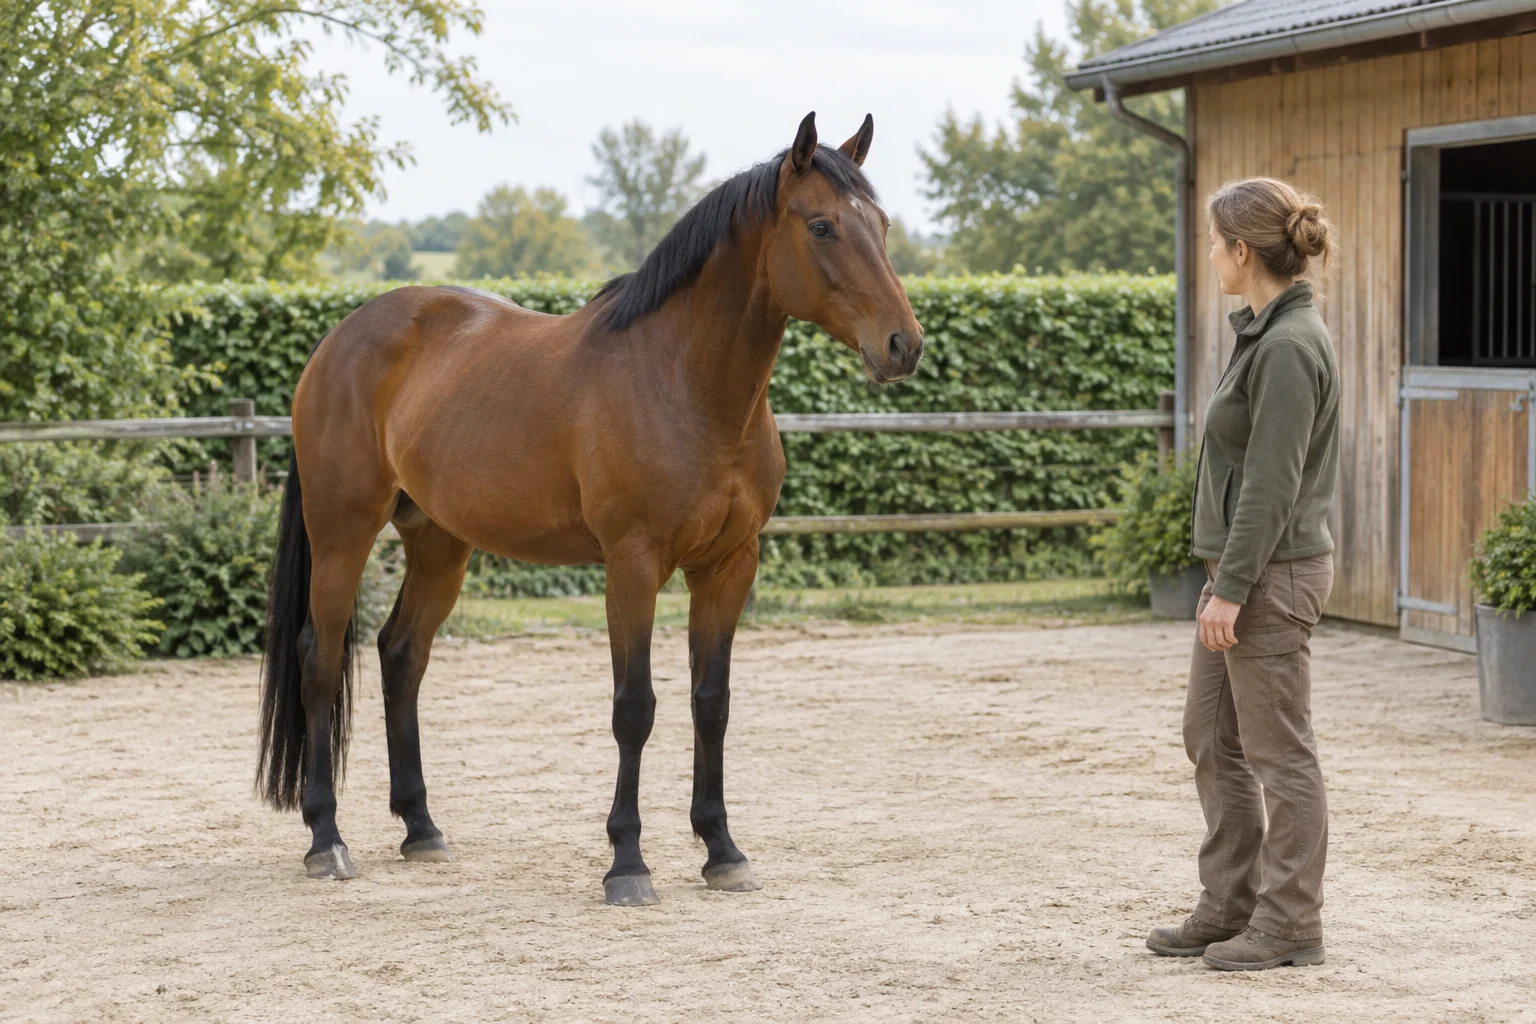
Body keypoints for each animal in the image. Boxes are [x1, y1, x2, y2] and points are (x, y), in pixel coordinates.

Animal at [256, 112, 924, 906]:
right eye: (822, 226)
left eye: (881, 224)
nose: (904, 345)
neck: (685, 384)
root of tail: (337, 342)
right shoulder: (632, 566)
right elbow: (634, 707)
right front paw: (628, 863)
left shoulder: (729, 566)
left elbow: (712, 701)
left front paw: (722, 849)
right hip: (342, 535)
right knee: (321, 660)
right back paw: (326, 838)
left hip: (441, 543)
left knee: (401, 653)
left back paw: (421, 828)